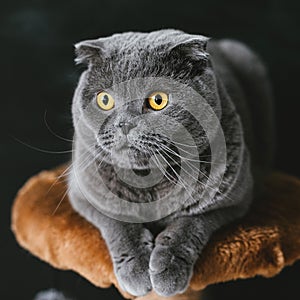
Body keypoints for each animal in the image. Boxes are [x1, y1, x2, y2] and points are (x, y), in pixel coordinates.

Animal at [68, 29, 274, 296]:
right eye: (105, 100)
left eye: (158, 100)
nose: (125, 124)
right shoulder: (83, 192)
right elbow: (118, 222)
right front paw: (137, 270)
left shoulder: (233, 200)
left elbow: (190, 223)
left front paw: (167, 270)